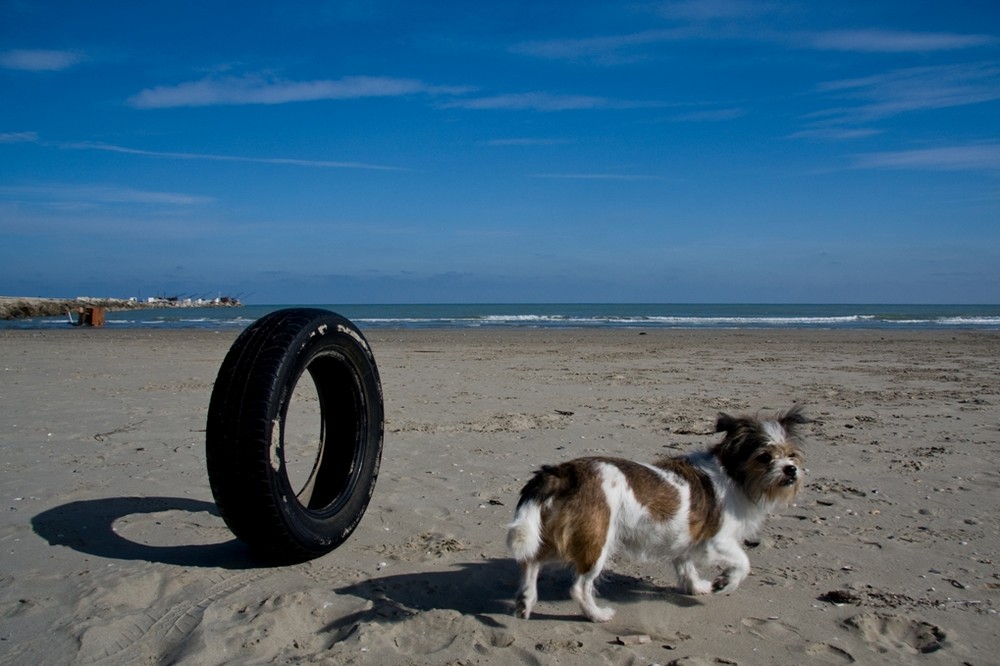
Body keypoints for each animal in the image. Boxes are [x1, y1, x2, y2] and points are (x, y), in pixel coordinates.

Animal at [508, 404, 804, 624]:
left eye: (792, 455)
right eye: (765, 457)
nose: (791, 470)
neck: (733, 473)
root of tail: (564, 472)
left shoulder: (687, 543)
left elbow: (686, 567)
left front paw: (697, 587)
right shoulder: (717, 541)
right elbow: (743, 563)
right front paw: (726, 583)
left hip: (565, 536)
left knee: (531, 560)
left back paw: (526, 600)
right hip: (595, 542)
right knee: (578, 587)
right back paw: (597, 615)